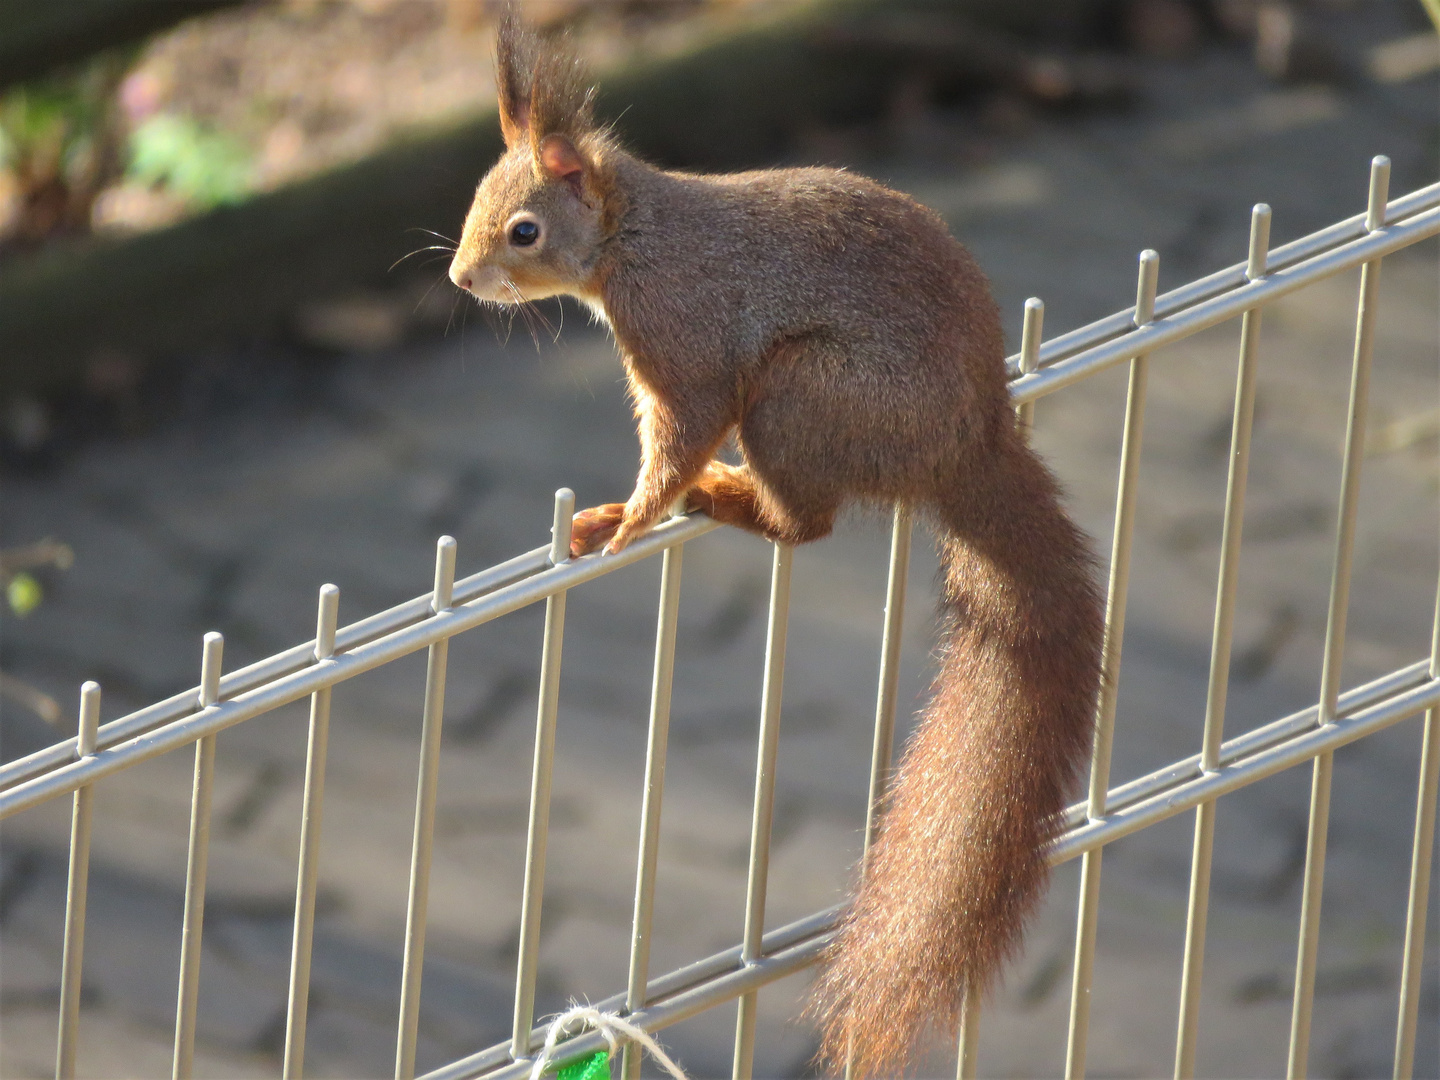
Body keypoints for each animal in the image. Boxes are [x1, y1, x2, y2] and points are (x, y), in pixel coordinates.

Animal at [449, 16, 1100, 1080]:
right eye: (474, 205)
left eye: (525, 231)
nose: (460, 278)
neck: (637, 237)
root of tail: (967, 446)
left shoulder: (686, 341)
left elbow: (677, 435)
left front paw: (628, 518)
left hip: (799, 399)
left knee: (807, 524)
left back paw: (727, 495)